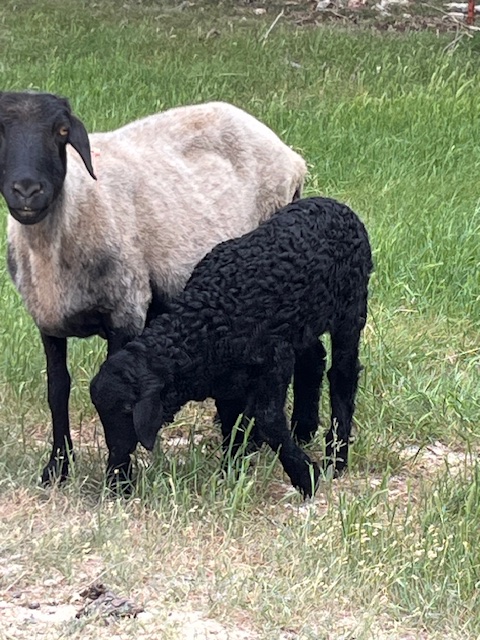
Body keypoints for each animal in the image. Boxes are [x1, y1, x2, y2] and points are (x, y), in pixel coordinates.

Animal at [0, 90, 307, 484]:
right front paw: (57, 469)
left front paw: (119, 477)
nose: (27, 190)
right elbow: (58, 390)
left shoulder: (126, 308)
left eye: (62, 130)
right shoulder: (47, 318)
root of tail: (290, 155)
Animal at [90, 197, 373, 498]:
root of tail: (335, 205)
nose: (115, 471)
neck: (206, 324)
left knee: (343, 376)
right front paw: (232, 473)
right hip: (304, 325)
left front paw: (306, 476)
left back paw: (337, 458)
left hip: (351, 312)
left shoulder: (276, 360)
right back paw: (304, 431)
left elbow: (268, 420)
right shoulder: (228, 384)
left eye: (126, 410)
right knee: (315, 359)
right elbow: (232, 425)